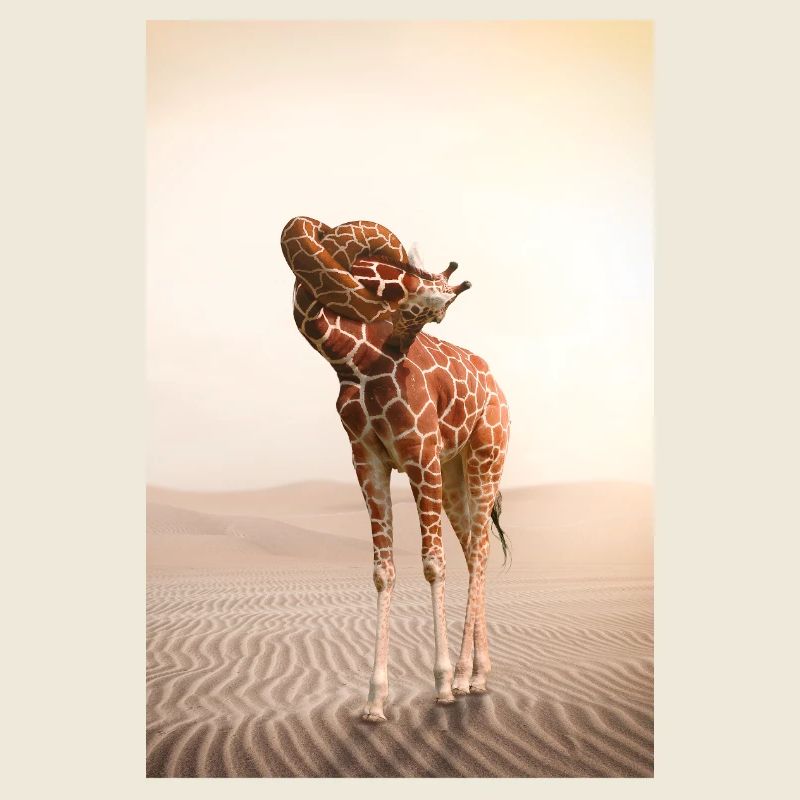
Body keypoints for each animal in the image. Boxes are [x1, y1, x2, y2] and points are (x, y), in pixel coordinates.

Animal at [280, 216, 510, 722]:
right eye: (408, 275)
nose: (451, 292)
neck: (356, 362)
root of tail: (498, 390)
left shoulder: (420, 453)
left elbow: (432, 563)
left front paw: (441, 686)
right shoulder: (367, 459)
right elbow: (383, 570)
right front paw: (374, 700)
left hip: (486, 457)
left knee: (481, 550)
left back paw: (466, 677)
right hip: (454, 474)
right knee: (474, 550)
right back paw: (478, 674)